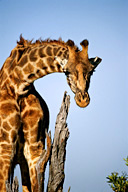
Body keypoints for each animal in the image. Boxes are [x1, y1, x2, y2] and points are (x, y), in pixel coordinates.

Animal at [0, 35, 102, 190]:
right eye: (66, 71)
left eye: (92, 71)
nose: (83, 100)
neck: (18, 85)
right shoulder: (5, 145)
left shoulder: (34, 147)